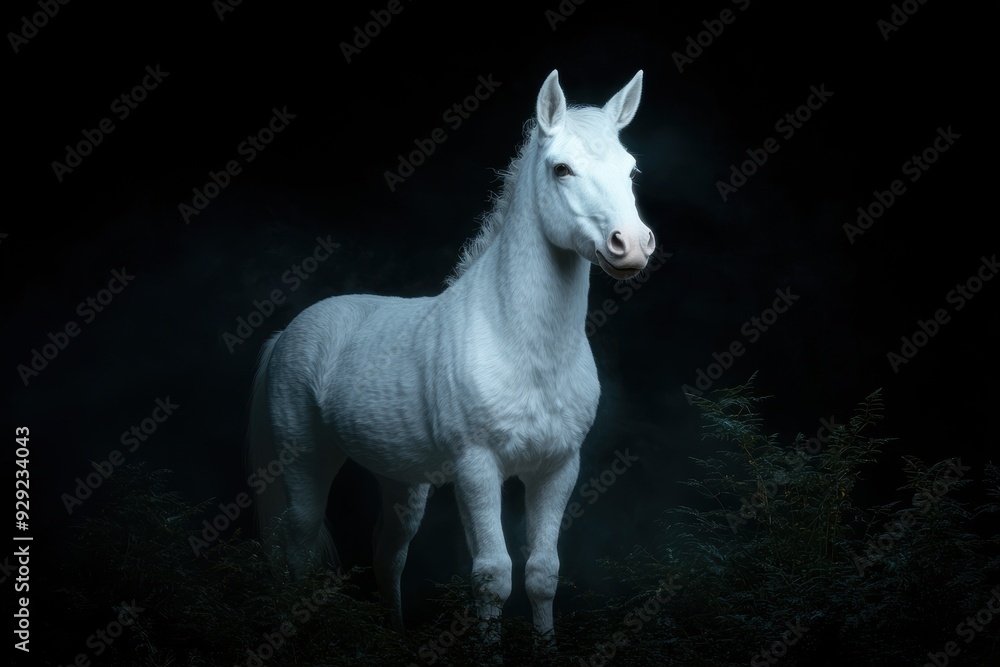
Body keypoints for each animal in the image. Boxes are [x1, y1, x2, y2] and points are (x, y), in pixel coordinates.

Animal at [247, 68, 655, 642]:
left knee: (387, 555)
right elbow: (493, 575)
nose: (632, 245)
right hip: (304, 461)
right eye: (562, 168)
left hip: (401, 481)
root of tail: (285, 334)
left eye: (631, 168)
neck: (519, 341)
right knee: (298, 551)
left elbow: (542, 573)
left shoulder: (557, 468)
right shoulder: (476, 467)